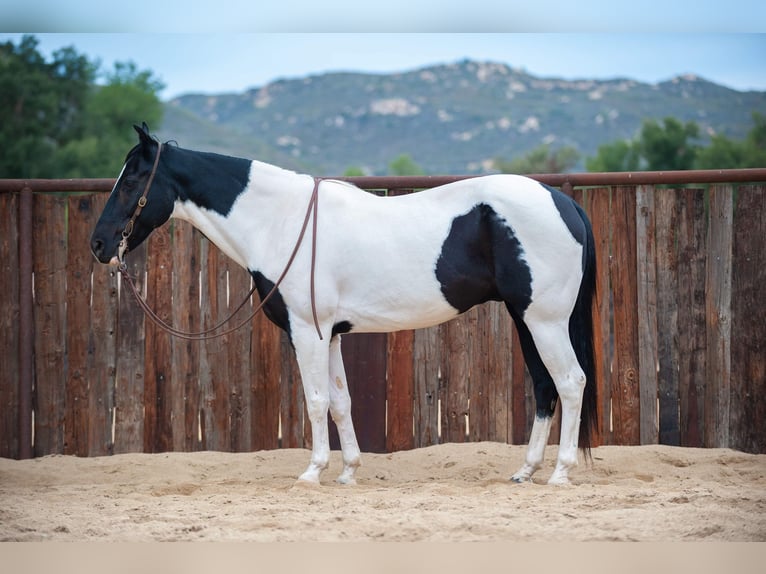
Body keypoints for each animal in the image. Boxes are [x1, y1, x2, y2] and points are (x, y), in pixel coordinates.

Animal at [91, 125, 600, 486]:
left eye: (132, 178)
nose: (98, 245)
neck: (280, 221)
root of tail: (562, 201)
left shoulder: (306, 332)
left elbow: (316, 400)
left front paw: (312, 472)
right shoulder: (330, 333)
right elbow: (340, 402)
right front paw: (348, 471)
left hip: (545, 322)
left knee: (571, 383)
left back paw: (560, 473)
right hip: (526, 320)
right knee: (544, 388)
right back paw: (526, 471)